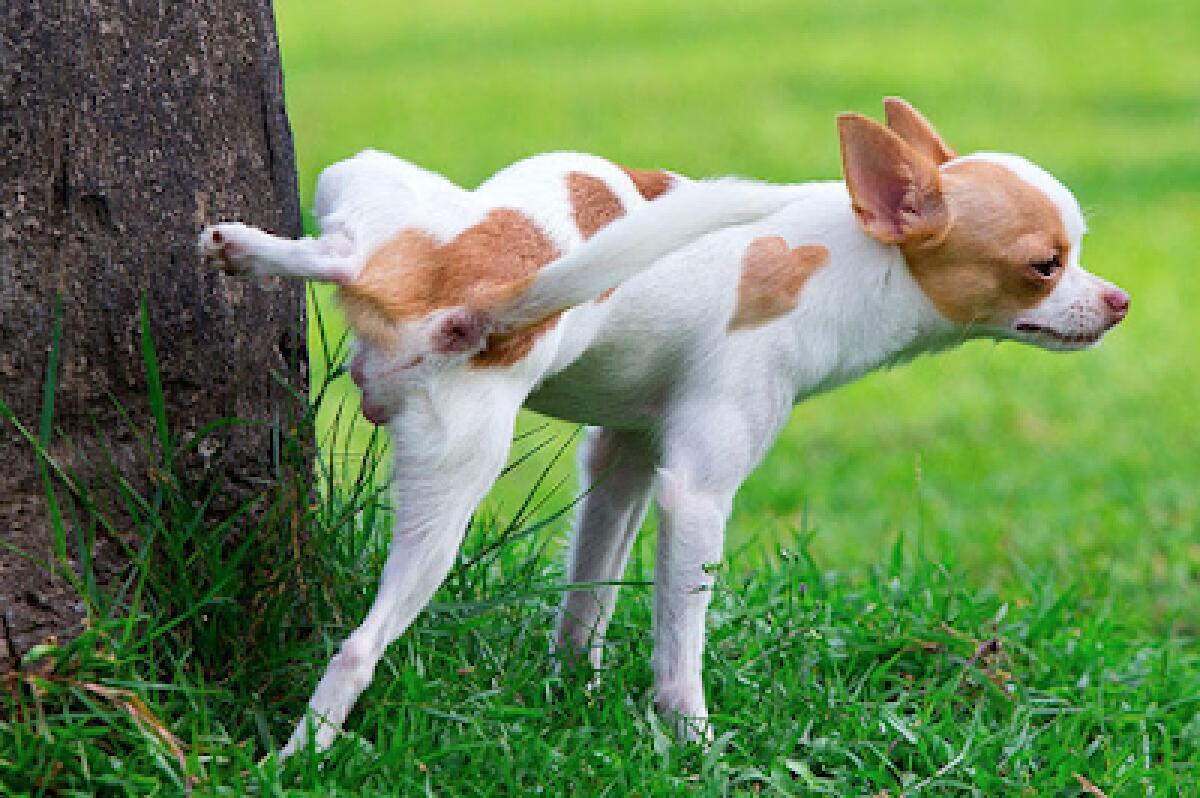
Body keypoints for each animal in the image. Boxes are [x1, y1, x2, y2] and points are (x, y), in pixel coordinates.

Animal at [199, 97, 1132, 753]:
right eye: (1044, 267)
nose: (1120, 301)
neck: (849, 258)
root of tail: (477, 302)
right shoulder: (695, 494)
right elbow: (679, 646)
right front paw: (693, 745)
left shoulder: (623, 462)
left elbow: (589, 599)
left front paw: (571, 697)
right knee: (359, 647)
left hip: (388, 258)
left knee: (347, 254)